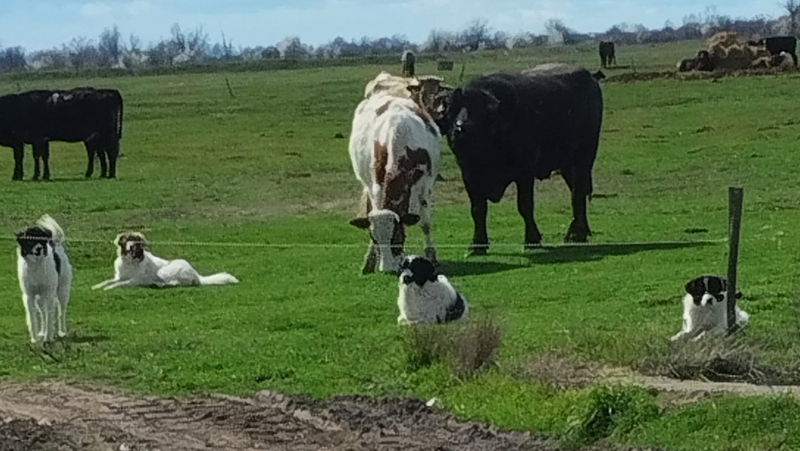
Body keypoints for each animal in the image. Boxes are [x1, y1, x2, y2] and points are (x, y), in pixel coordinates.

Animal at [91, 231, 238, 292]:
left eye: (137, 240)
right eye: (127, 239)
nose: (133, 246)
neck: (130, 261)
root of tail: (197, 275)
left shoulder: (135, 280)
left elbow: (119, 284)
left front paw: (108, 288)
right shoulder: (119, 276)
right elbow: (108, 281)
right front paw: (97, 286)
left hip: (165, 270)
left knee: (178, 283)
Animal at [346, 91, 440, 276]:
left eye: (397, 237)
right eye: (374, 239)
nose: (387, 269)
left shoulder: (425, 185)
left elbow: (425, 223)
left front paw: (431, 256)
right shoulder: (375, 186)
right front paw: (371, 260)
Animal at [434, 64, 604, 256]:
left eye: (482, 112)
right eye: (452, 110)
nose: (461, 128)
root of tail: (591, 78)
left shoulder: (525, 172)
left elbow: (525, 205)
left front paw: (532, 239)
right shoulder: (468, 176)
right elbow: (478, 209)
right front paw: (477, 244)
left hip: (585, 154)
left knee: (578, 192)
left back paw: (576, 233)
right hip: (567, 163)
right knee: (577, 192)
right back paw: (581, 230)